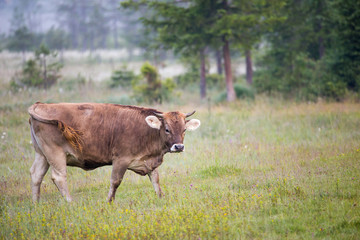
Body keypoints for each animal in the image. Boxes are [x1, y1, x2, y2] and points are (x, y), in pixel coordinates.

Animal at [28, 101, 201, 202]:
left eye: (184, 129)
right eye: (167, 129)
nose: (178, 147)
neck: (146, 130)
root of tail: (40, 104)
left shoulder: (149, 162)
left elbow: (156, 180)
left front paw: (161, 198)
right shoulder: (120, 160)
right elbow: (115, 181)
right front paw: (109, 202)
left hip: (42, 154)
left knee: (36, 175)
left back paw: (36, 203)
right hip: (55, 153)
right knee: (59, 177)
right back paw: (70, 203)